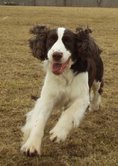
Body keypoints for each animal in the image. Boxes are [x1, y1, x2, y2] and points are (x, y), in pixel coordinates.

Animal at [20, 25, 103, 156]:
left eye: (68, 41)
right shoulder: (48, 97)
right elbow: (39, 120)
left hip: (97, 79)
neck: (65, 73)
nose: (57, 55)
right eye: (51, 40)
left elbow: (70, 113)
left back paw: (94, 105)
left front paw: (58, 133)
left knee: (97, 91)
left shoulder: (82, 98)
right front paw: (31, 145)